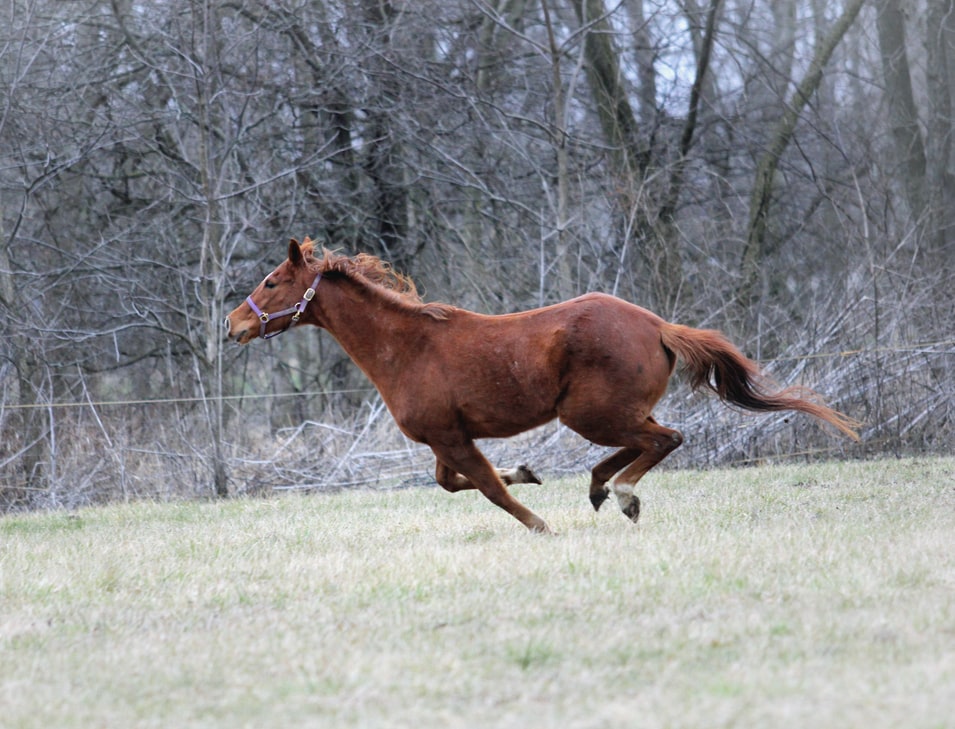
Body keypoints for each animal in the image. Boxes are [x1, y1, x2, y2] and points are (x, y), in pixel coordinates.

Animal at [228, 237, 864, 528]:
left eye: (271, 281)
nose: (232, 324)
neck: (407, 349)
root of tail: (658, 326)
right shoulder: (445, 438)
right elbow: (452, 483)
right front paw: (529, 472)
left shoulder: (450, 437)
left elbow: (488, 489)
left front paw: (541, 525)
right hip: (605, 413)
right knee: (650, 440)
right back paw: (602, 488)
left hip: (591, 413)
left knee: (665, 439)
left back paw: (621, 493)